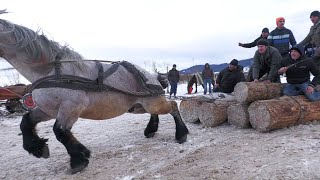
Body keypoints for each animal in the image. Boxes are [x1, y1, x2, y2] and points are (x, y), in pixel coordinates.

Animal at [0, 10, 189, 174]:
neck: (51, 71)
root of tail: (153, 76)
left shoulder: (71, 108)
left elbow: (59, 131)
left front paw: (79, 160)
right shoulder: (49, 110)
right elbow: (26, 122)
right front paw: (38, 148)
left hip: (152, 103)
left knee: (173, 106)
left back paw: (181, 134)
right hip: (138, 106)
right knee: (156, 113)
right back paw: (150, 130)